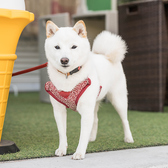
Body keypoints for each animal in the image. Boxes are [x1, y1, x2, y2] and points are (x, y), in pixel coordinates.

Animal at [44, 20, 134, 159]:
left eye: (74, 47)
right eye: (57, 47)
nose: (64, 60)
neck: (68, 76)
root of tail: (105, 55)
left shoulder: (86, 110)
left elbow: (82, 135)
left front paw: (79, 152)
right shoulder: (59, 110)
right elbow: (62, 133)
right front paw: (62, 149)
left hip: (118, 99)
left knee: (125, 120)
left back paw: (128, 138)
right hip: (95, 102)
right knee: (95, 119)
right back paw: (91, 138)